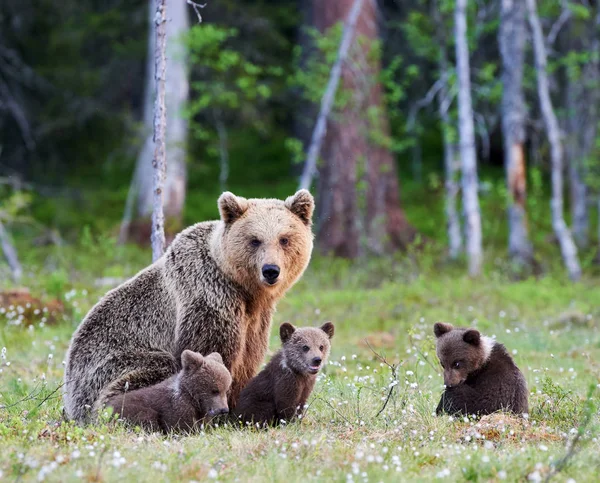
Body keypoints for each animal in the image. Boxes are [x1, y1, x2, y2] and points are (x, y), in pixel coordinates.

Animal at [63, 190, 316, 424]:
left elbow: (247, 359)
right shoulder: (208, 296)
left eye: (284, 239)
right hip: (108, 366)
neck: (244, 290)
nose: (271, 270)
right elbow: (210, 353)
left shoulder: (255, 319)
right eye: (255, 240)